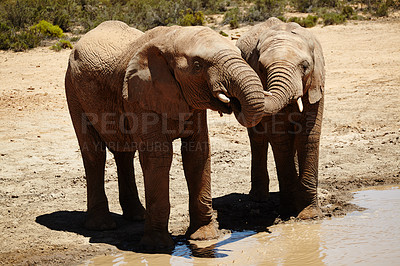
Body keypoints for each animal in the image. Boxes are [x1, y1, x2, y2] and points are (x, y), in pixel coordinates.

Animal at [65, 20, 272, 249]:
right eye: (197, 65)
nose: (233, 101)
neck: (172, 37)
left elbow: (197, 153)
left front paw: (205, 238)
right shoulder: (140, 95)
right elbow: (159, 157)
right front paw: (157, 247)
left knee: (124, 152)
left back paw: (137, 216)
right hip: (73, 90)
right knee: (94, 153)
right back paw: (101, 226)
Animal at [238, 17, 324, 219]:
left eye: (305, 66)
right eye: (261, 68)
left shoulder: (316, 85)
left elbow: (308, 137)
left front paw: (309, 215)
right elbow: (280, 139)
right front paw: (289, 211)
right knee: (258, 139)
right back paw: (258, 198)